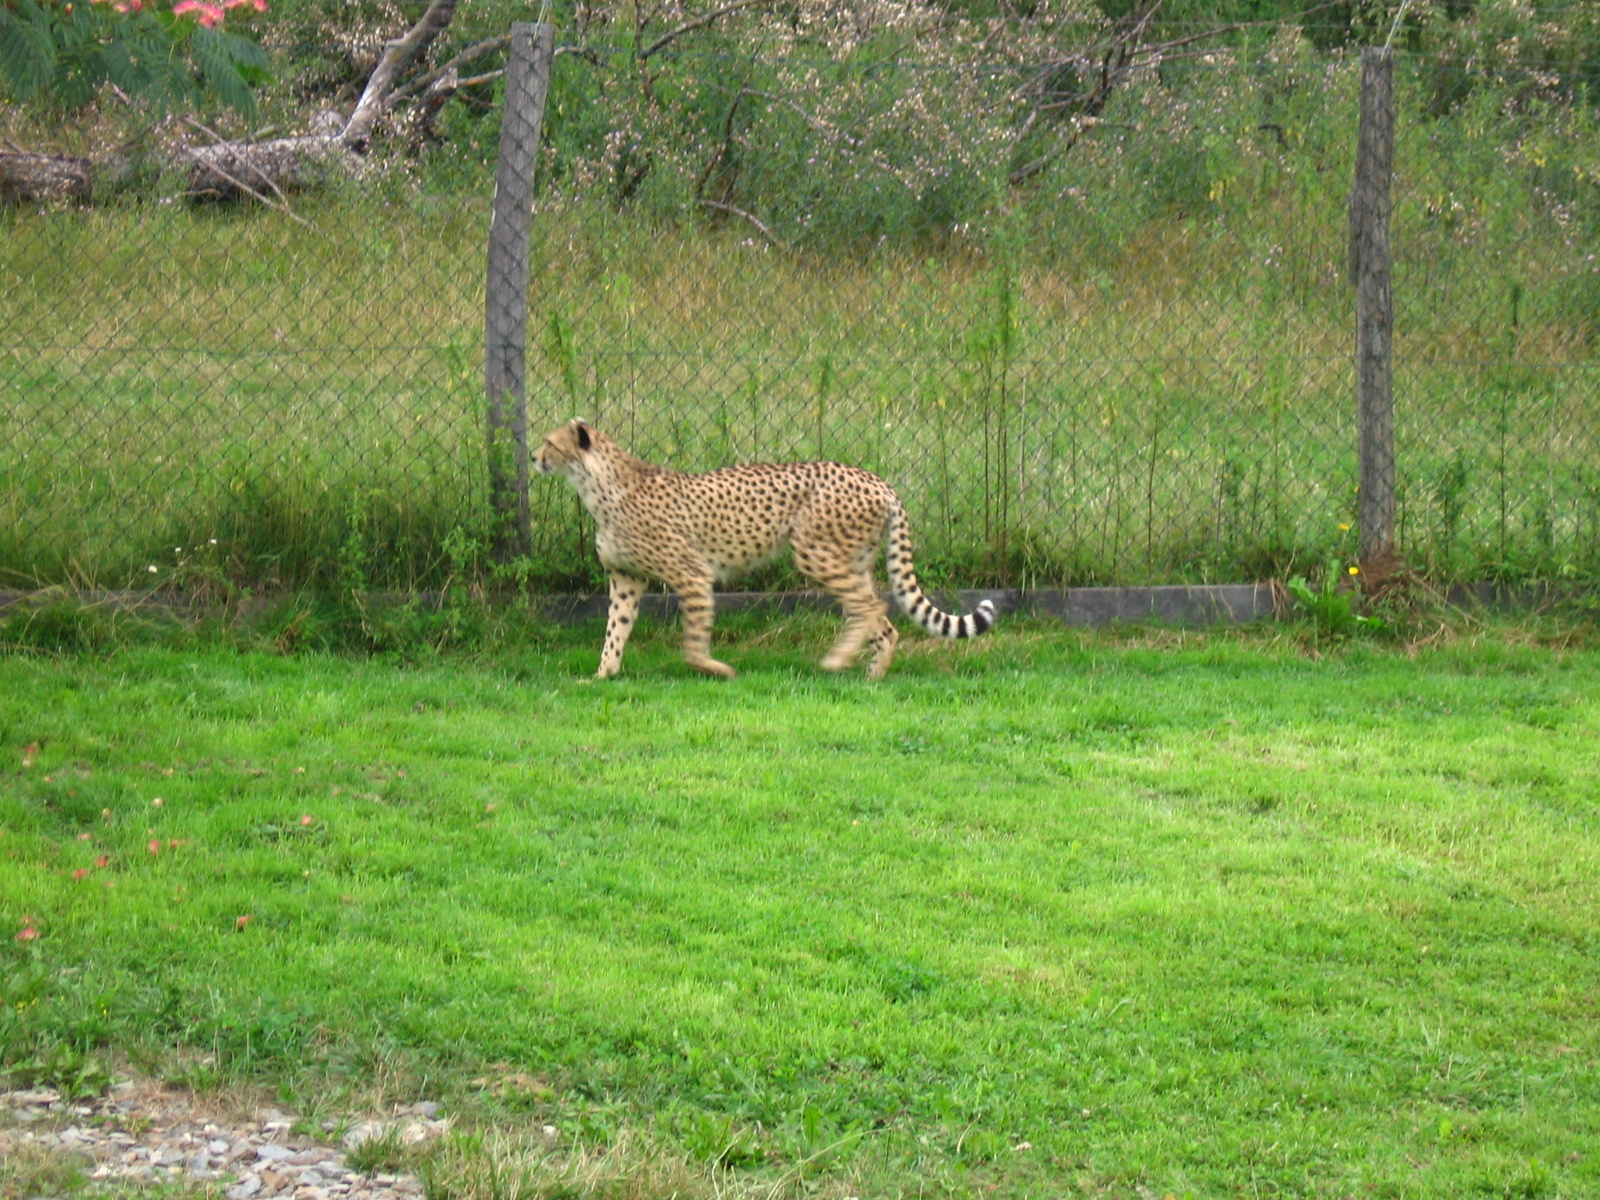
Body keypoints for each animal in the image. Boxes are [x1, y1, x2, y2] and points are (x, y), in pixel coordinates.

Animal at [531, 419, 992, 681]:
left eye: (550, 443)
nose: (534, 456)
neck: (597, 484)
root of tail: (874, 477)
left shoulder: (693, 574)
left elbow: (692, 640)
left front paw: (716, 669)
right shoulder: (626, 578)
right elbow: (616, 629)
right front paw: (602, 675)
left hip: (815, 553)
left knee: (870, 606)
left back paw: (837, 662)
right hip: (851, 560)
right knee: (881, 616)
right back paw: (873, 673)